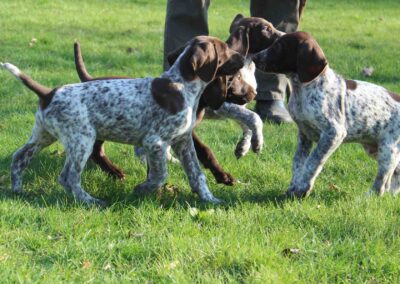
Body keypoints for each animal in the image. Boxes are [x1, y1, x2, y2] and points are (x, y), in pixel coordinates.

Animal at [1, 35, 244, 205]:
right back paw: (90, 201)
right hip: (82, 140)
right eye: (224, 49)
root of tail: (49, 93)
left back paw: (18, 188)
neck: (182, 85)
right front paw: (143, 189)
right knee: (68, 177)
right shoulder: (154, 143)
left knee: (19, 157)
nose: (243, 58)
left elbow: (197, 174)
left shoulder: (183, 141)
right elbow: (160, 174)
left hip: (44, 135)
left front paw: (209, 199)